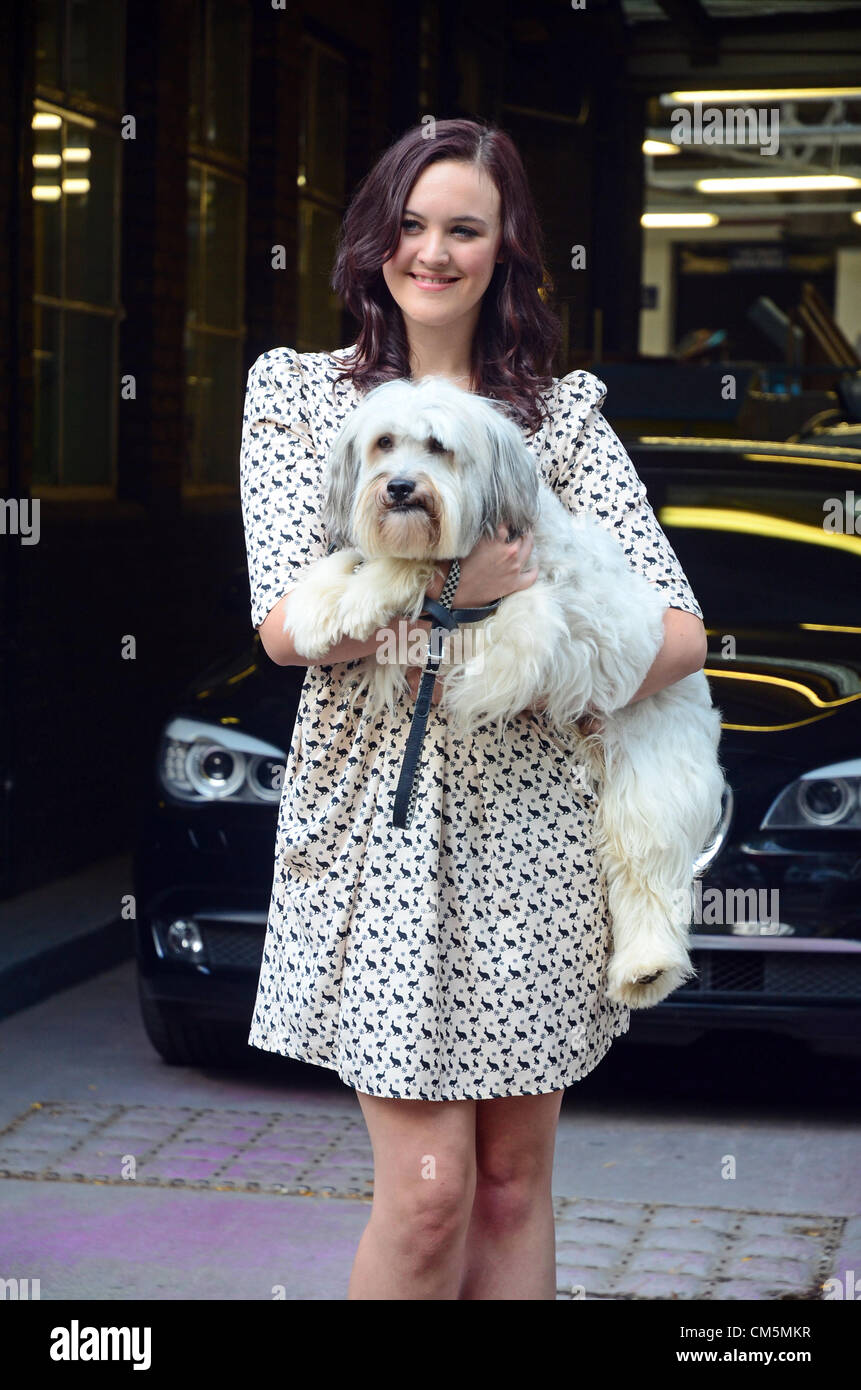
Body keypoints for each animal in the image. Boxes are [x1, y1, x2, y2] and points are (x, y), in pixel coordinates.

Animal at [282, 375, 728, 1006]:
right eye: (384, 442)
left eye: (438, 446)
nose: (399, 488)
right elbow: (350, 558)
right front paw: (320, 605)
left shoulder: (527, 611)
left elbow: (415, 568)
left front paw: (369, 592)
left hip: (651, 783)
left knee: (647, 875)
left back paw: (647, 967)